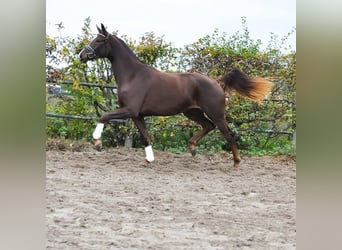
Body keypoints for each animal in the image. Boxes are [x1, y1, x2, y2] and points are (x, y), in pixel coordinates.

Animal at [79, 24, 272, 167]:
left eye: (98, 40)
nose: (82, 55)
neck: (133, 75)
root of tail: (217, 82)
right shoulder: (137, 115)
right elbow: (146, 136)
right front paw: (149, 159)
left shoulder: (129, 110)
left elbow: (104, 116)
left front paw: (97, 143)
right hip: (192, 112)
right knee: (208, 126)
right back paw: (192, 148)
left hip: (216, 113)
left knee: (228, 133)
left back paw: (236, 162)